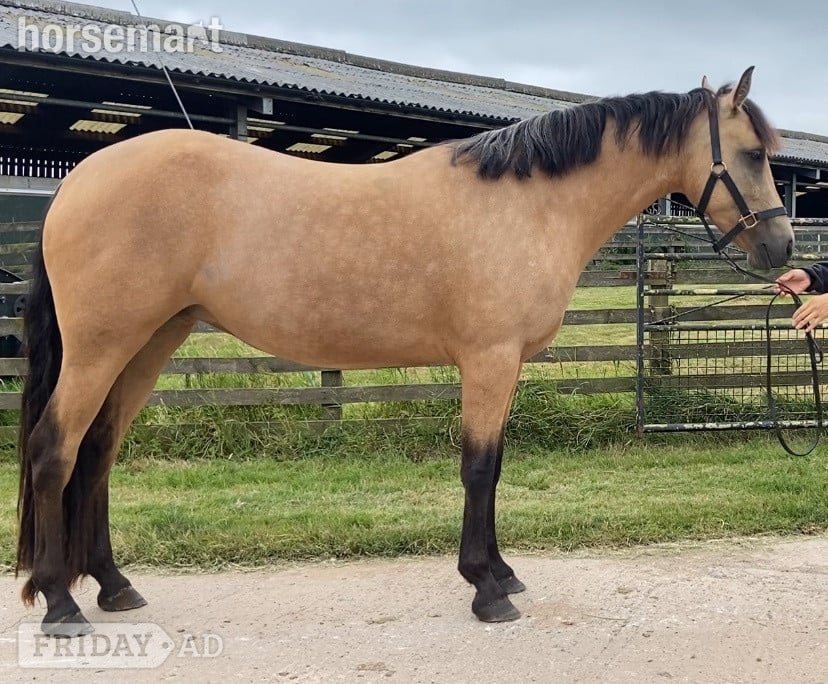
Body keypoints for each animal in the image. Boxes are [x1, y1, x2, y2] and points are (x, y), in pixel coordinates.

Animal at [16, 66, 792, 636]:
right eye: (753, 154)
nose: (782, 249)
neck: (529, 202)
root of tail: (75, 180)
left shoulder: (504, 365)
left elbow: (495, 467)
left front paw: (501, 572)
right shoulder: (488, 359)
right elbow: (478, 468)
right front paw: (485, 590)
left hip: (150, 343)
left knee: (98, 453)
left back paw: (113, 586)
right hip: (103, 348)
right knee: (55, 450)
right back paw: (61, 603)